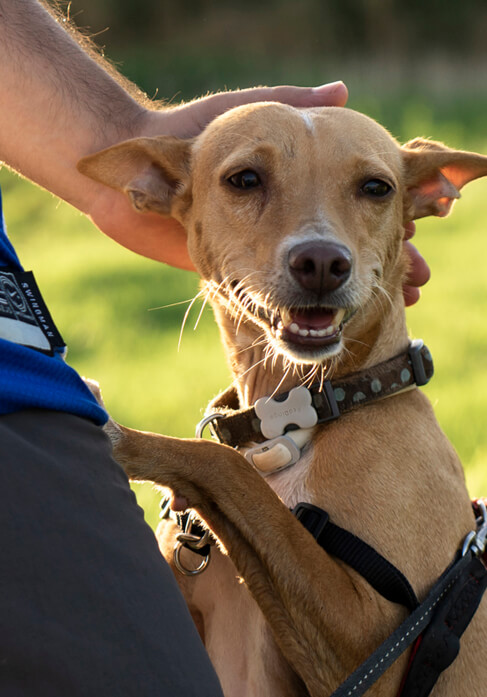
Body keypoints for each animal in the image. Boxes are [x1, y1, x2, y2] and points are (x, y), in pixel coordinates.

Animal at [78, 104, 487, 696]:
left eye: (376, 187)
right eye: (245, 179)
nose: (321, 261)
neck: (292, 422)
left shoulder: (379, 645)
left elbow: (227, 467)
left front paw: (124, 437)